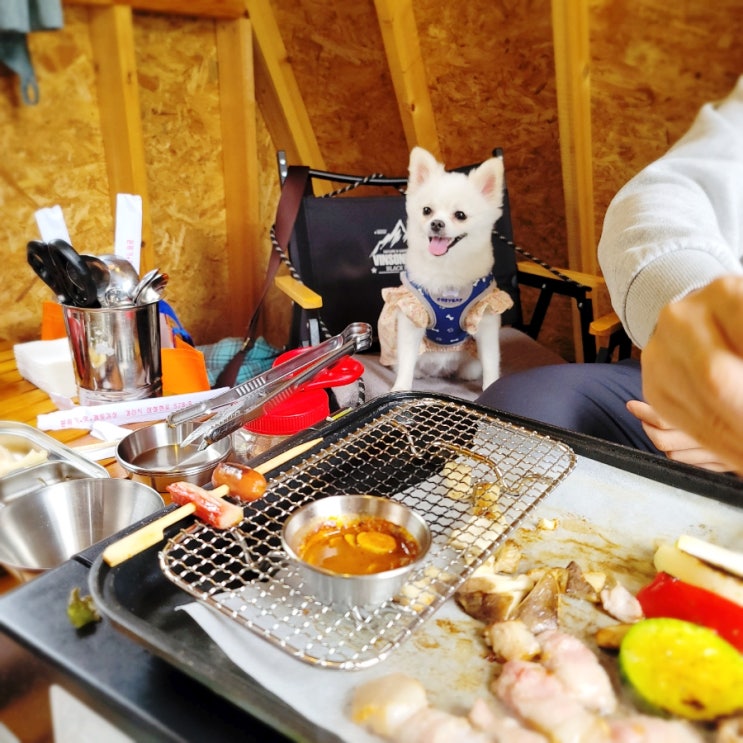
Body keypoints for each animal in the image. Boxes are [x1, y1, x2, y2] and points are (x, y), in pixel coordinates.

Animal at [380, 146, 516, 392]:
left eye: (460, 215)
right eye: (427, 210)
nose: (436, 223)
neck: (447, 269)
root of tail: (441, 370)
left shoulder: (486, 317)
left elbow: (491, 359)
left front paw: (491, 386)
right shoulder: (411, 317)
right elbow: (406, 360)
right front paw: (401, 388)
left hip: (470, 366)